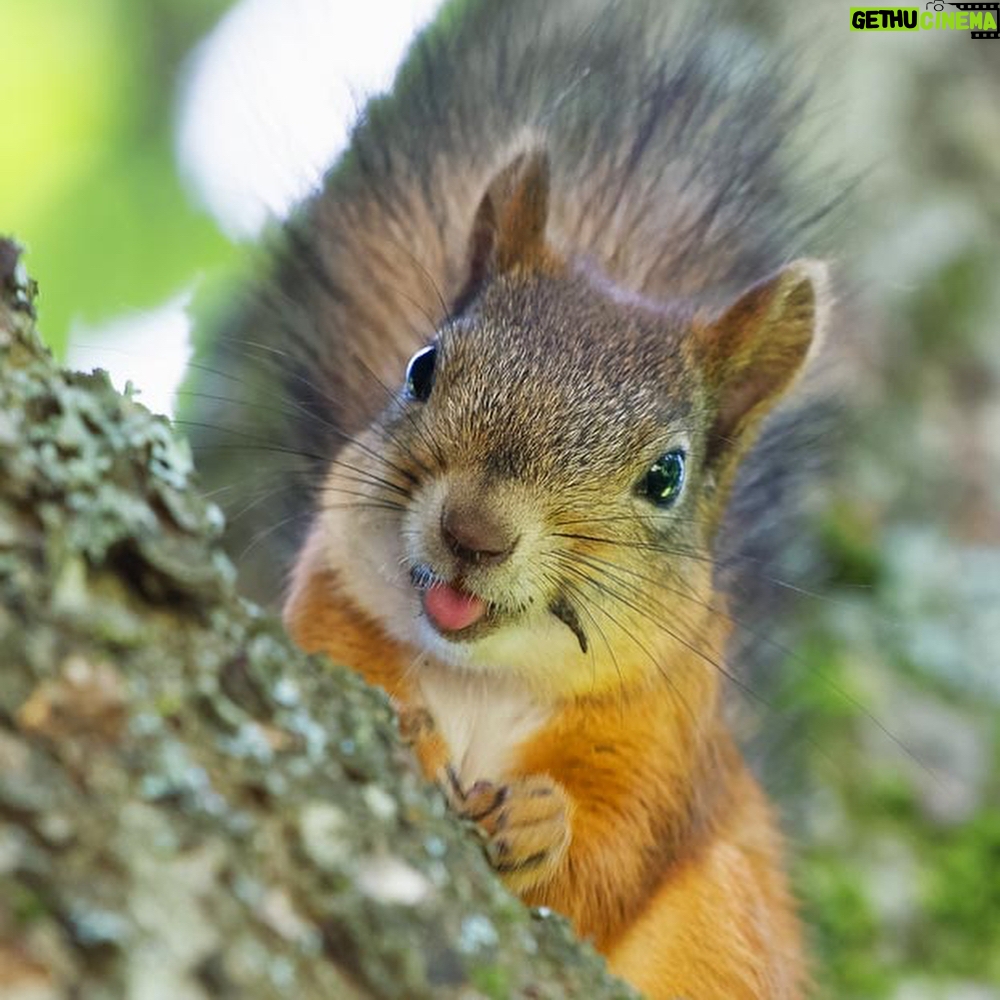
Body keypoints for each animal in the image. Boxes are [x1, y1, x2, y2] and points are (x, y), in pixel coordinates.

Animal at [192, 2, 838, 997]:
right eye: (421, 368)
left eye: (667, 475)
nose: (474, 532)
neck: (485, 678)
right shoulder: (326, 614)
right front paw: (406, 735)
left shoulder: (666, 744)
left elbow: (604, 872)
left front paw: (543, 827)